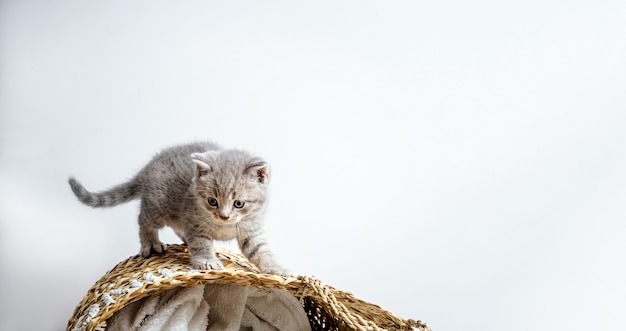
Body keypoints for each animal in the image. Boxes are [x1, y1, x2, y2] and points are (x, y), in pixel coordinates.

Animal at [67, 141, 286, 276]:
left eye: (238, 203)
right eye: (212, 201)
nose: (224, 216)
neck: (223, 226)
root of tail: (147, 169)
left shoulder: (252, 229)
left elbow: (260, 249)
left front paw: (276, 268)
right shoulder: (194, 221)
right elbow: (201, 243)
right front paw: (206, 261)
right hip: (158, 207)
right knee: (143, 220)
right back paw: (151, 243)